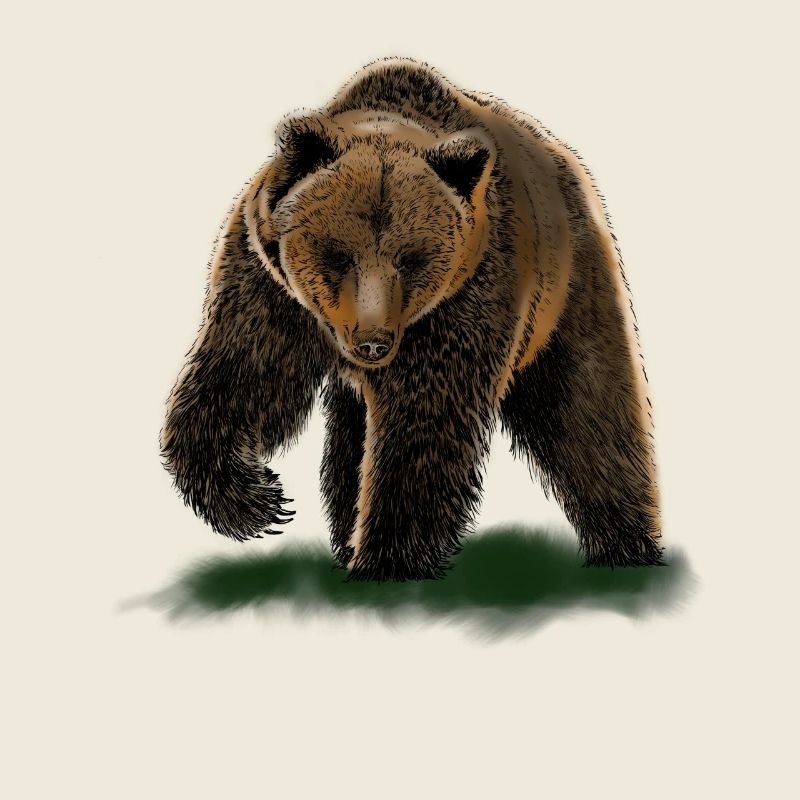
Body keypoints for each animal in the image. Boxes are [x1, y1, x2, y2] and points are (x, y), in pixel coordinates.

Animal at [160, 57, 663, 581]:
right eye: (339, 255)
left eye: (411, 259)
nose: (372, 341)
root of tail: (561, 158)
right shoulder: (272, 289)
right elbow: (245, 379)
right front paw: (258, 501)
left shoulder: (464, 301)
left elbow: (425, 424)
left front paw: (389, 561)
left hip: (565, 289)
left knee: (586, 408)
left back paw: (627, 546)